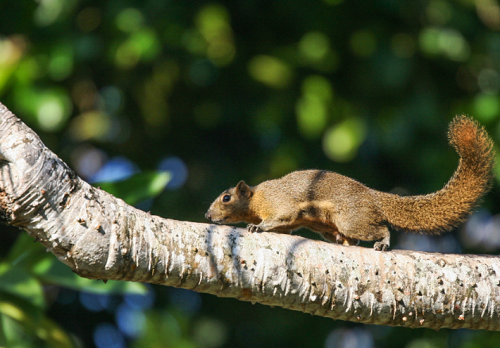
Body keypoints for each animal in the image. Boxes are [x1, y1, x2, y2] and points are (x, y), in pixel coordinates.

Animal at [205, 116, 494, 250]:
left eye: (227, 198)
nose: (207, 215)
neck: (256, 198)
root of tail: (373, 196)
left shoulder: (279, 203)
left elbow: (280, 217)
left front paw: (258, 227)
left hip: (351, 219)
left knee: (379, 229)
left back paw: (382, 243)